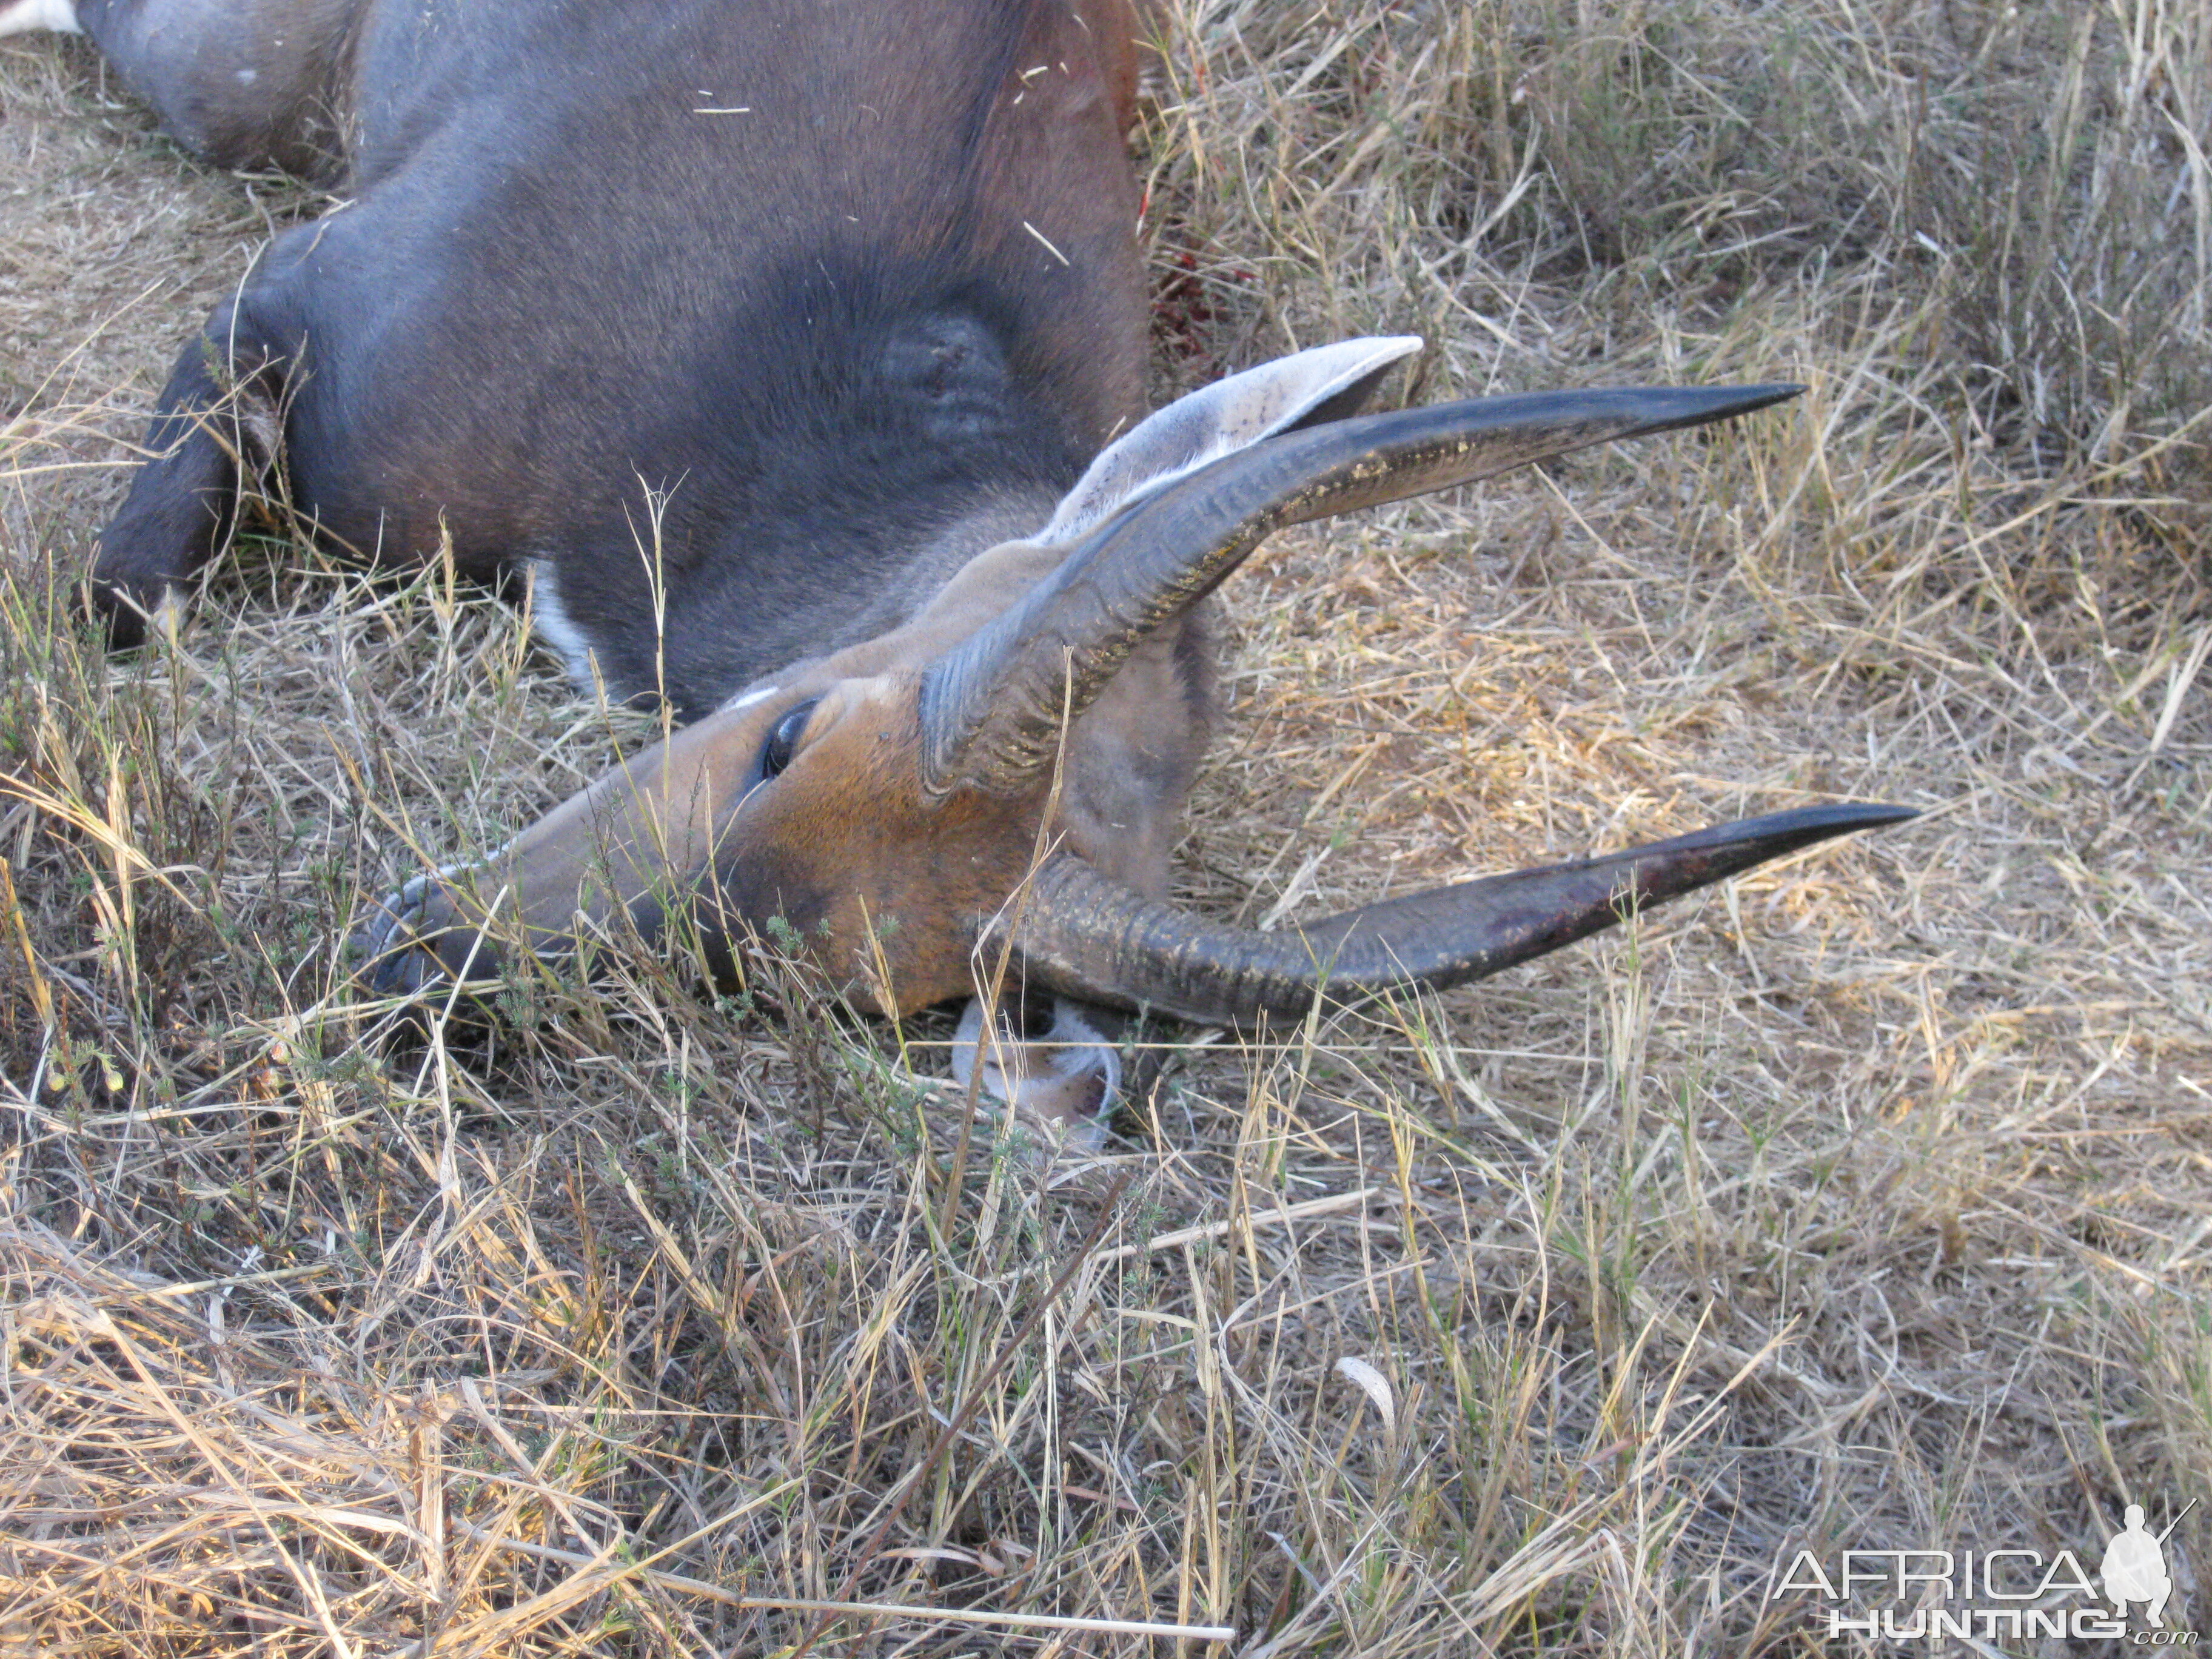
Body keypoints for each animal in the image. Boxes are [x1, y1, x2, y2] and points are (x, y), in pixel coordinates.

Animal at [17, 0, 1911, 1132]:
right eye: (785, 734)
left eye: (789, 981)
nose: (410, 955)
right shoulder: (286, 308)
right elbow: (121, 608)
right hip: (236, 85)